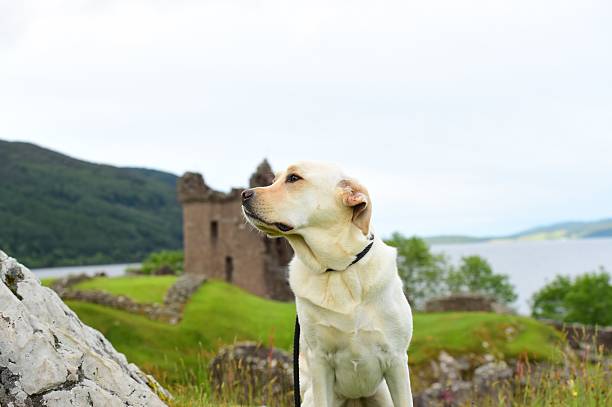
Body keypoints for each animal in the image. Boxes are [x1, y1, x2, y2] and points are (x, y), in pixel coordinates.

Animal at [241, 161, 414, 406]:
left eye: (294, 178)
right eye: (273, 179)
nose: (244, 194)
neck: (338, 269)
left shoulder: (396, 361)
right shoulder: (319, 361)